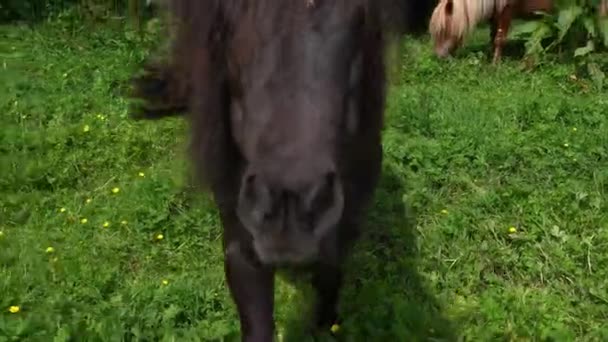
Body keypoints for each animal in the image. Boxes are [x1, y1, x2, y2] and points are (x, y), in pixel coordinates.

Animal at [129, 1, 432, 340]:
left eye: (361, 15)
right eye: (229, 18)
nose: (290, 207)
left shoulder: (344, 232)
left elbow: (330, 277)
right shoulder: (242, 250)